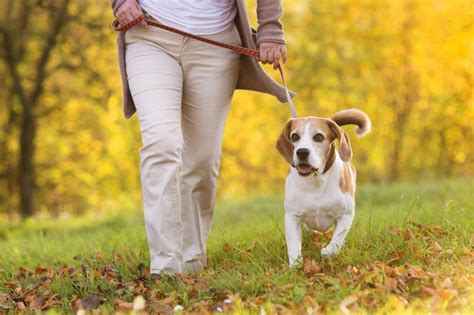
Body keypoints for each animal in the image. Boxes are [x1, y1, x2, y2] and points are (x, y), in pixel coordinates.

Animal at [276, 108, 372, 266]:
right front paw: (295, 265)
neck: (316, 180)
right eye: (294, 136)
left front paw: (327, 251)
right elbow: (293, 245)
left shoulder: (346, 215)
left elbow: (337, 240)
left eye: (319, 137)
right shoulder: (292, 217)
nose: (302, 152)